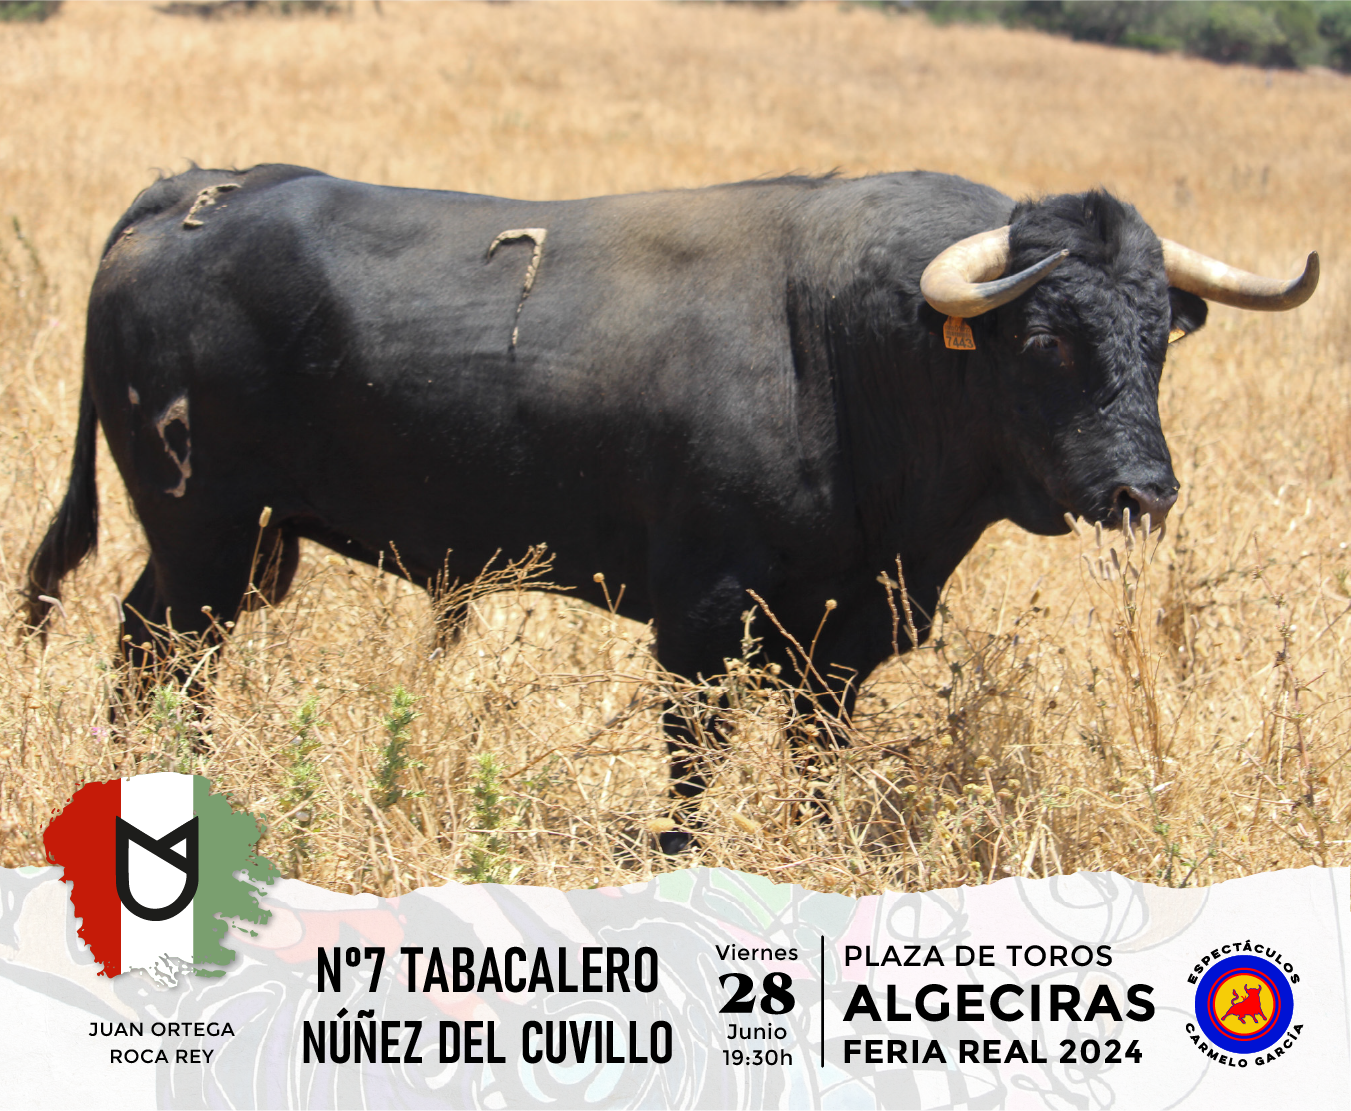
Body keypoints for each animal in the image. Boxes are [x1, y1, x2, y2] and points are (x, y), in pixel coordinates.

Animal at [25, 164, 1317, 852]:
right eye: (1046, 342)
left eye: (1159, 341)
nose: (1142, 490)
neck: (845, 351)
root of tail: (197, 191)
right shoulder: (700, 616)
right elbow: (694, 761)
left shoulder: (839, 634)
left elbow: (815, 752)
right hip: (200, 529)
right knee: (164, 651)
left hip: (239, 543)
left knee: (156, 648)